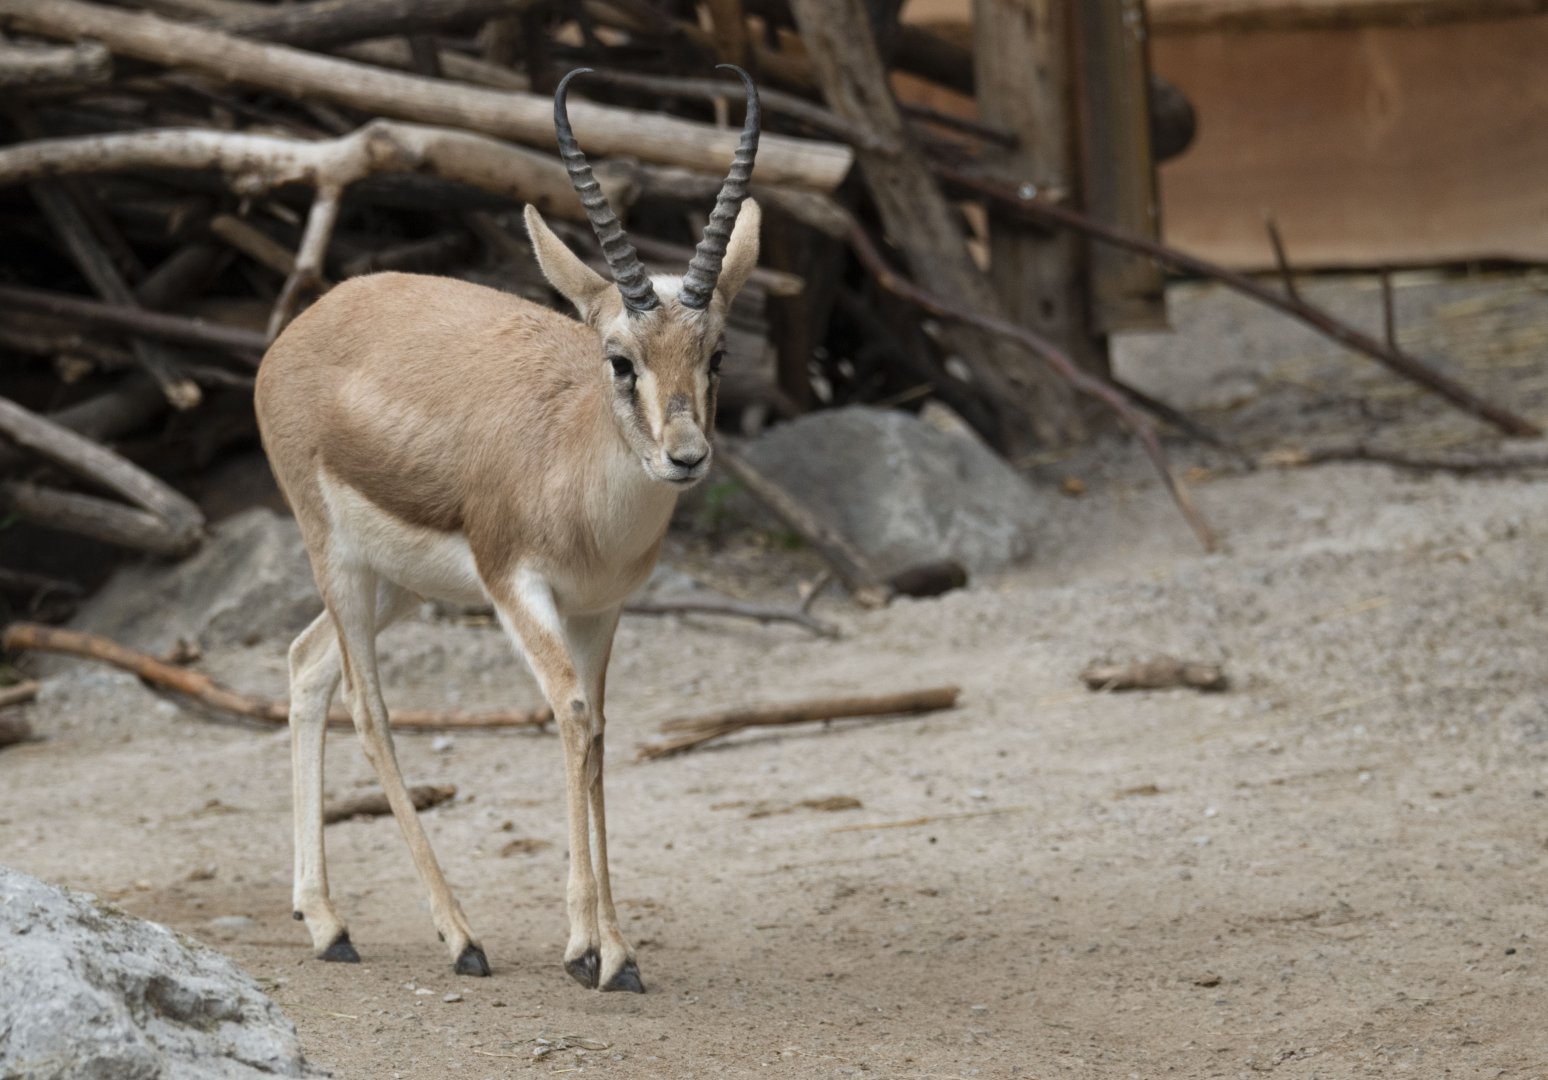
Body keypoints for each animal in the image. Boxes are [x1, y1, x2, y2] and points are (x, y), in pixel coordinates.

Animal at [254, 66, 761, 992]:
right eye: (620, 359)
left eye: (716, 355)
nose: (685, 457)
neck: (577, 471)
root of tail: (307, 323)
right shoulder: (514, 586)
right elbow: (570, 713)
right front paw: (596, 953)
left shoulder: (600, 611)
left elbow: (597, 733)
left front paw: (607, 946)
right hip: (336, 557)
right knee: (366, 707)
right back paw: (459, 938)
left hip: (397, 585)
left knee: (306, 665)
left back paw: (326, 923)